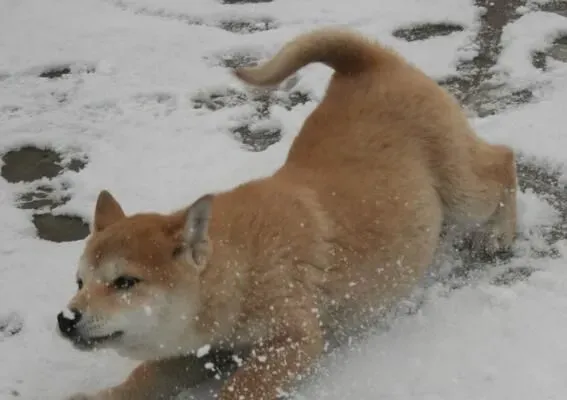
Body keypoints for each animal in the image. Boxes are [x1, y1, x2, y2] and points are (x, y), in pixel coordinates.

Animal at [58, 26, 520, 398]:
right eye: (79, 281)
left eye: (124, 282)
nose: (66, 318)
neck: (242, 266)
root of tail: (369, 62)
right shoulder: (196, 349)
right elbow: (144, 378)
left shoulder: (293, 339)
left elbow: (241, 387)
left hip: (461, 189)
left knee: (502, 162)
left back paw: (500, 231)